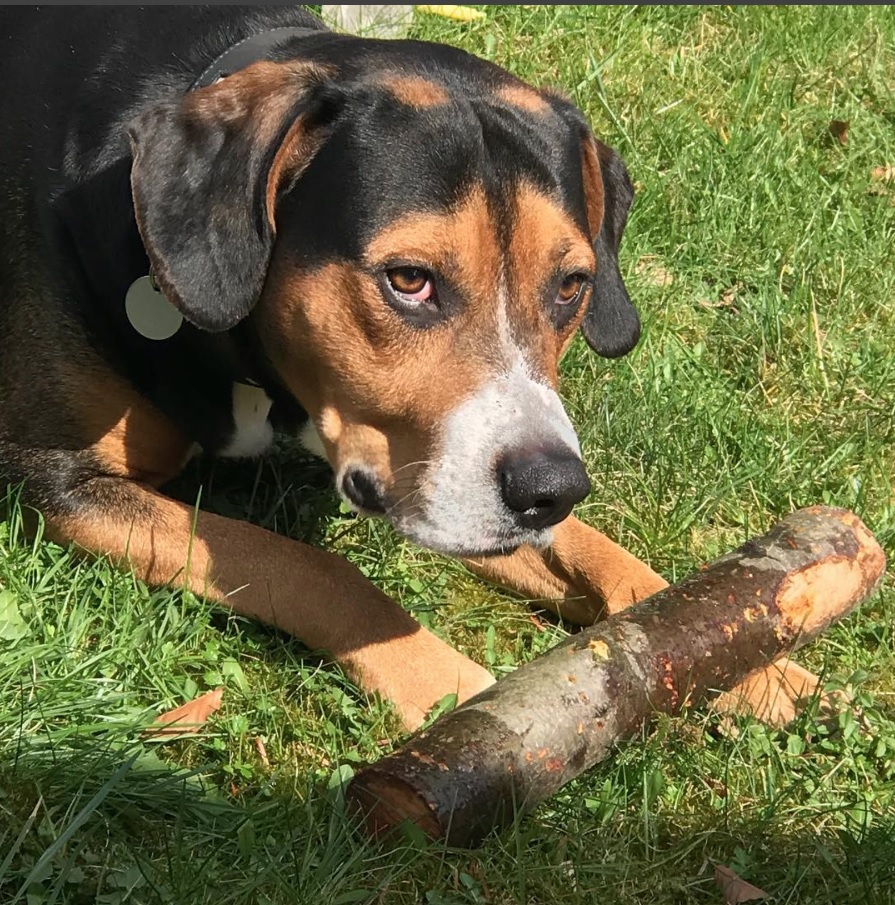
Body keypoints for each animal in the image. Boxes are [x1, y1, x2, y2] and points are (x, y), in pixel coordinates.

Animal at [0, 5, 816, 728]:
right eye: (409, 279)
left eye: (571, 285)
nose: (549, 489)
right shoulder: (54, 482)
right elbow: (307, 565)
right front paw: (448, 681)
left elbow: (606, 557)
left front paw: (756, 657)